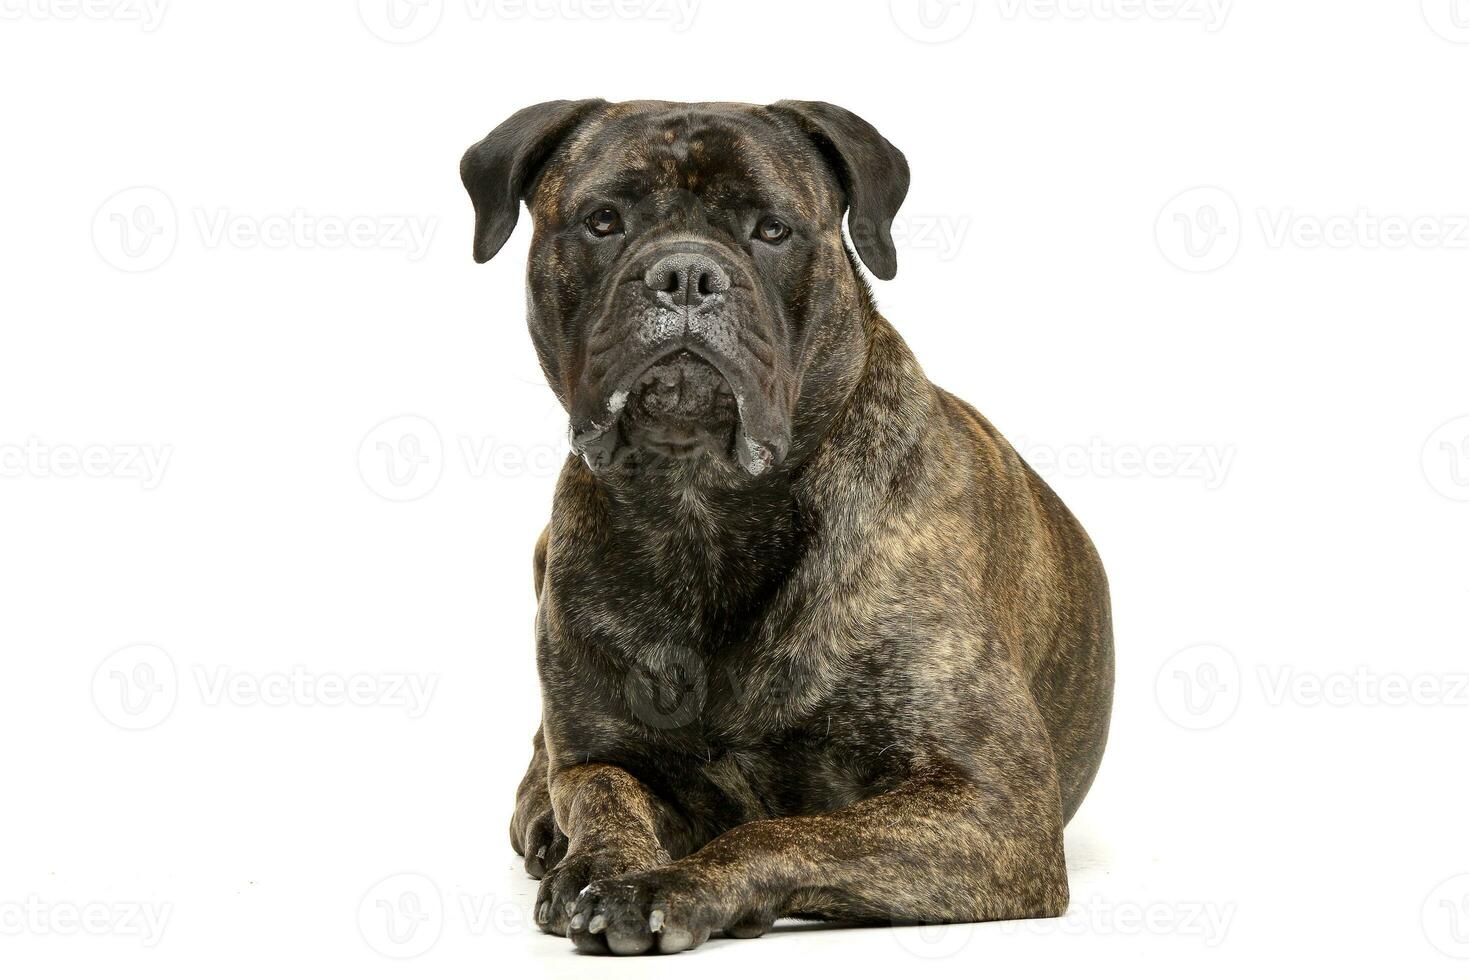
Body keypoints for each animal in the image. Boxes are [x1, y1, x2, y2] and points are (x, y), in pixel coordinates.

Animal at [461, 95, 1110, 952]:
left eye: (771, 229)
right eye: (603, 221)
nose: (685, 274)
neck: (700, 504)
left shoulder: (990, 803)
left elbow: (787, 832)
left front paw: (672, 884)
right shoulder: (604, 755)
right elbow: (601, 793)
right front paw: (599, 861)